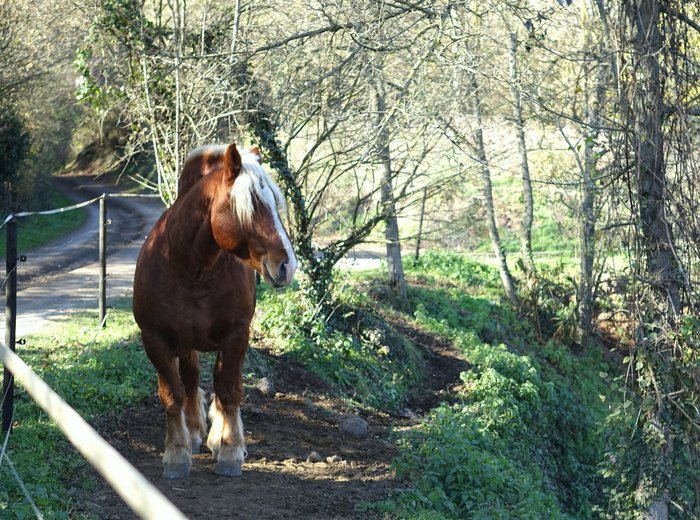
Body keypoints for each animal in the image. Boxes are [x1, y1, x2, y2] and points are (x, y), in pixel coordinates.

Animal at [133, 143, 296, 480]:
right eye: (253, 204)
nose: (288, 266)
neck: (190, 269)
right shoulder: (155, 340)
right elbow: (173, 394)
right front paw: (177, 454)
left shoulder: (236, 335)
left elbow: (229, 390)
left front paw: (230, 450)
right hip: (185, 343)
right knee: (191, 379)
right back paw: (195, 432)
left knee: (221, 387)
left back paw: (218, 438)